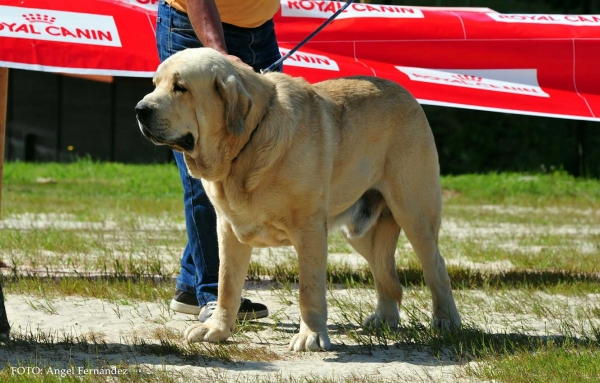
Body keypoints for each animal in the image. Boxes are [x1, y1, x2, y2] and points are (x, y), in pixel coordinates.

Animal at [135, 47, 460, 352]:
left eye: (181, 87)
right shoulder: (227, 230)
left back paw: (446, 320)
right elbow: (226, 284)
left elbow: (309, 289)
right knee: (386, 273)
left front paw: (312, 336)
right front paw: (216, 329)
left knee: (437, 267)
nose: (140, 109)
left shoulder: (310, 230)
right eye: (156, 84)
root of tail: (407, 94)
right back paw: (384, 318)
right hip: (360, 231)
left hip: (415, 214)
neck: (247, 143)